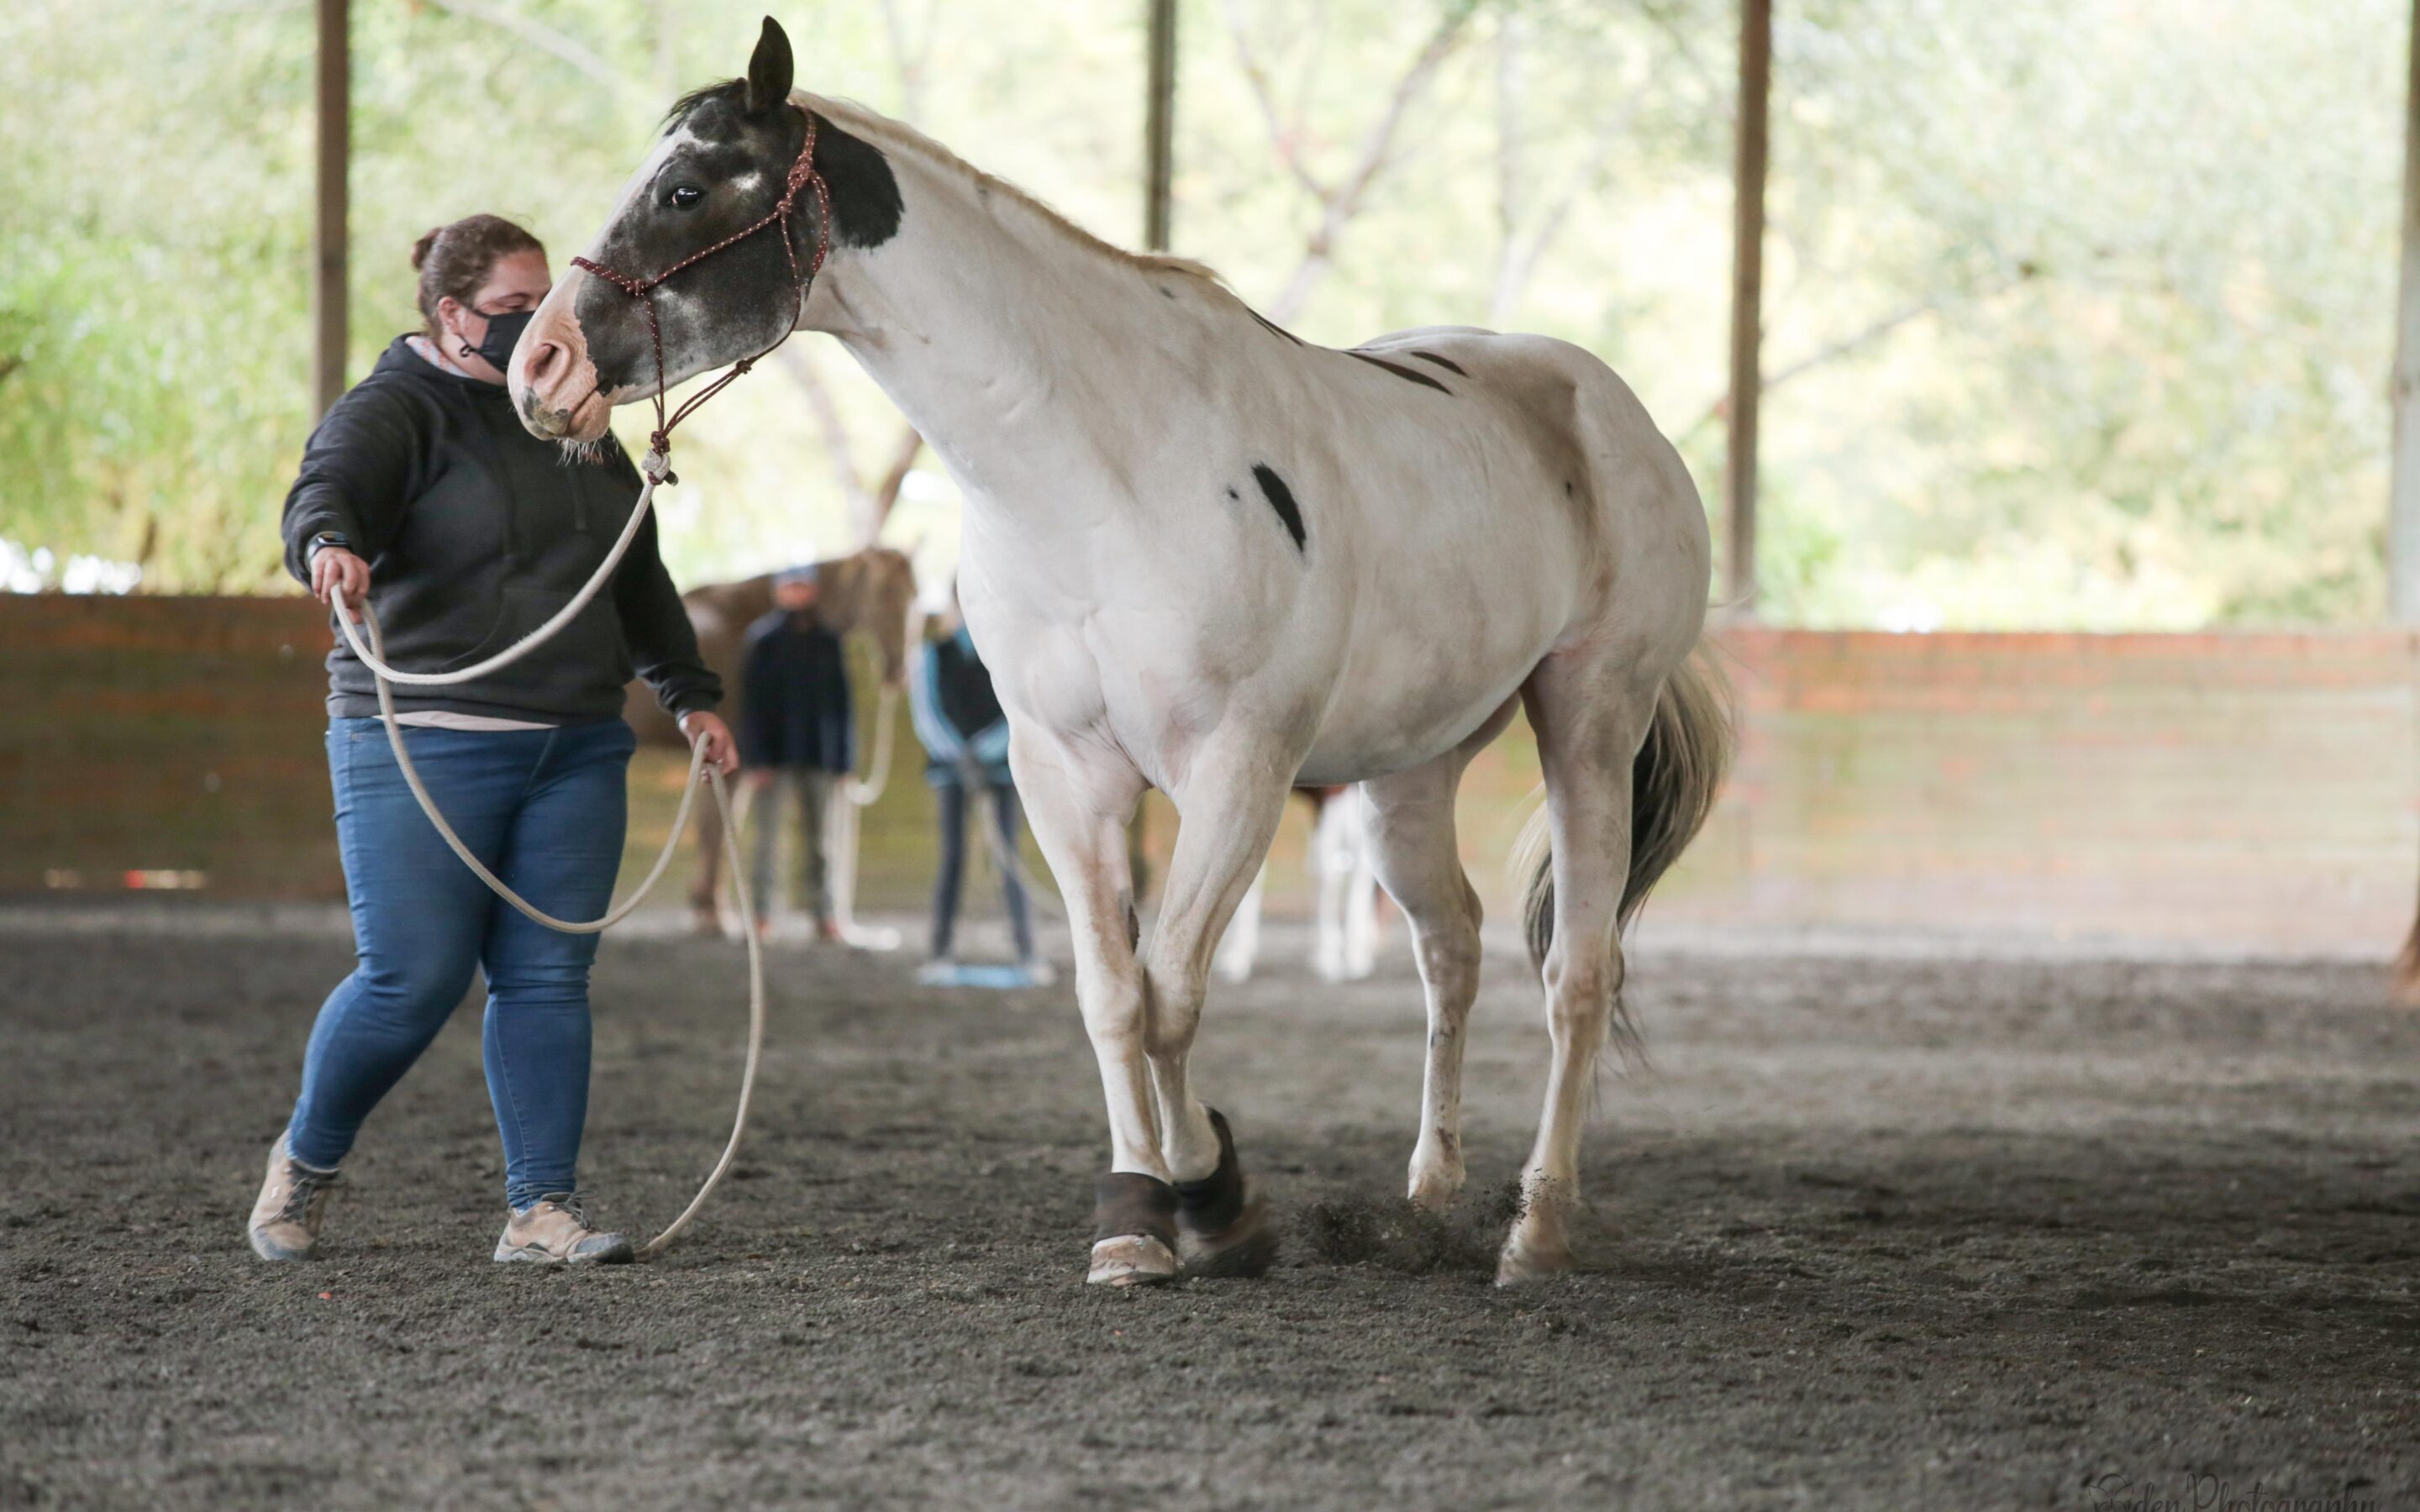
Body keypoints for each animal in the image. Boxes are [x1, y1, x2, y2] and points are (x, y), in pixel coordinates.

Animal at [510, 14, 1733, 1287]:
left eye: (686, 189)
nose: (537, 368)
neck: (1100, 472)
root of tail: (1609, 409)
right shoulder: (1062, 770)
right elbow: (1110, 995)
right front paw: (1139, 1220)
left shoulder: (1238, 771)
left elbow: (1172, 990)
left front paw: (1217, 1194)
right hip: (1412, 766)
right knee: (1450, 949)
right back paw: (1430, 1200)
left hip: (1591, 719)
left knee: (1577, 973)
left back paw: (1538, 1228)